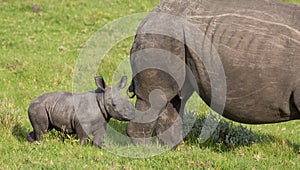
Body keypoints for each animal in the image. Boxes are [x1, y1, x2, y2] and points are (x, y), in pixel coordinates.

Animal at [126, 0, 300, 146]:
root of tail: (147, 17)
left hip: (174, 37)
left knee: (177, 97)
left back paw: (173, 148)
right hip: (160, 36)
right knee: (155, 98)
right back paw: (145, 150)